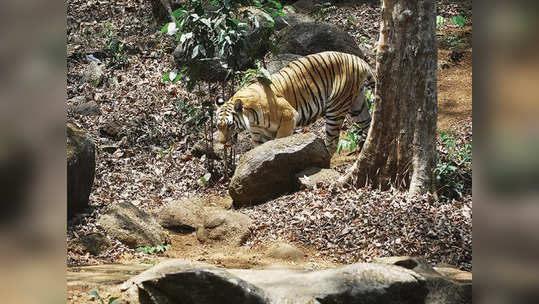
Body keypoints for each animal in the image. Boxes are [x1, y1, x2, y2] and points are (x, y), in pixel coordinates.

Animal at [214, 51, 376, 154]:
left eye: (230, 125)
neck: (252, 120)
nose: (223, 143)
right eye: (218, 126)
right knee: (369, 125)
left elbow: (280, 142)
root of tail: (357, 59)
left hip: (336, 109)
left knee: (332, 142)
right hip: (358, 106)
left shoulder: (288, 116)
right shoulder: (259, 136)